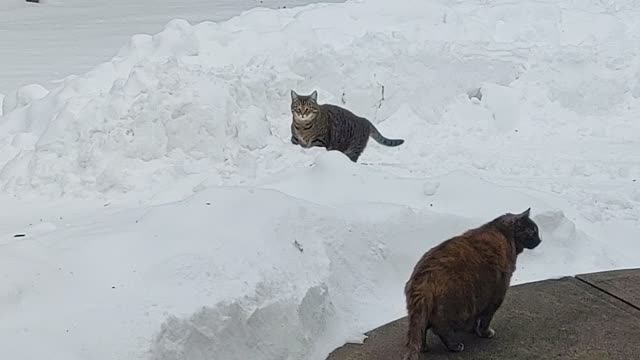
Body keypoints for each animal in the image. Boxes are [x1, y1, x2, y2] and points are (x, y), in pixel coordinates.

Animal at [404, 208, 540, 360]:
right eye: (533, 231)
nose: (540, 240)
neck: (503, 233)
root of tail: (422, 279)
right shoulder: (495, 297)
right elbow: (485, 319)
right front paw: (485, 333)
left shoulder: (480, 299)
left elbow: (476, 319)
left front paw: (473, 330)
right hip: (453, 309)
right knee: (441, 330)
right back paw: (455, 346)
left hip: (425, 313)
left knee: (420, 330)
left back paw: (424, 347)